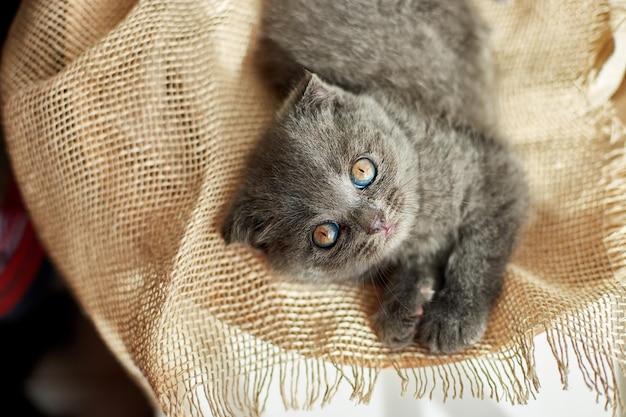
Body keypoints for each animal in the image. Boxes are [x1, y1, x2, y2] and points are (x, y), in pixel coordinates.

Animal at [222, 0, 524, 352]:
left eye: (362, 170)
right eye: (325, 234)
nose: (376, 222)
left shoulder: (492, 168)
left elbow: (478, 250)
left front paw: (453, 316)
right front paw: (402, 305)